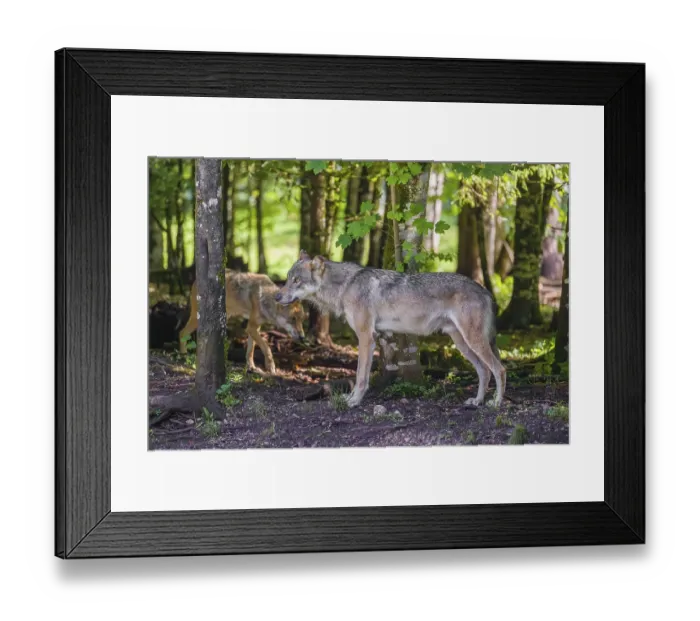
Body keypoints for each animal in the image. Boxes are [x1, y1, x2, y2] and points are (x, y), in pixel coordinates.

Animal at [276, 251, 506, 408]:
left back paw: (496, 403)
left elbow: (360, 376)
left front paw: (354, 401)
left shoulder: (366, 337)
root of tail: (485, 291)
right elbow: (360, 375)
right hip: (462, 344)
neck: (345, 286)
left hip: (472, 341)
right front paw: (350, 398)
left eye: (297, 280)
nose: (277, 296)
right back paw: (477, 401)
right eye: (287, 279)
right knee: (484, 371)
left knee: (499, 369)